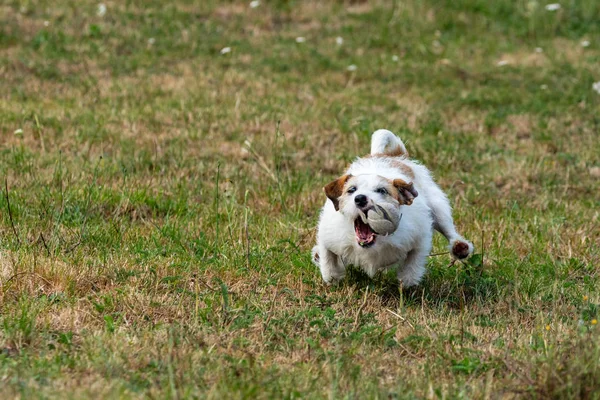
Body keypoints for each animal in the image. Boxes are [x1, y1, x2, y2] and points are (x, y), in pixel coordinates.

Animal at [310, 130, 474, 286]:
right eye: (351, 190)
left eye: (382, 190)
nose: (360, 198)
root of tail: (387, 155)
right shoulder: (329, 234)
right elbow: (328, 258)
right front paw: (332, 276)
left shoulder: (419, 237)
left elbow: (414, 260)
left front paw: (407, 281)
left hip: (438, 207)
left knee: (448, 229)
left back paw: (460, 247)